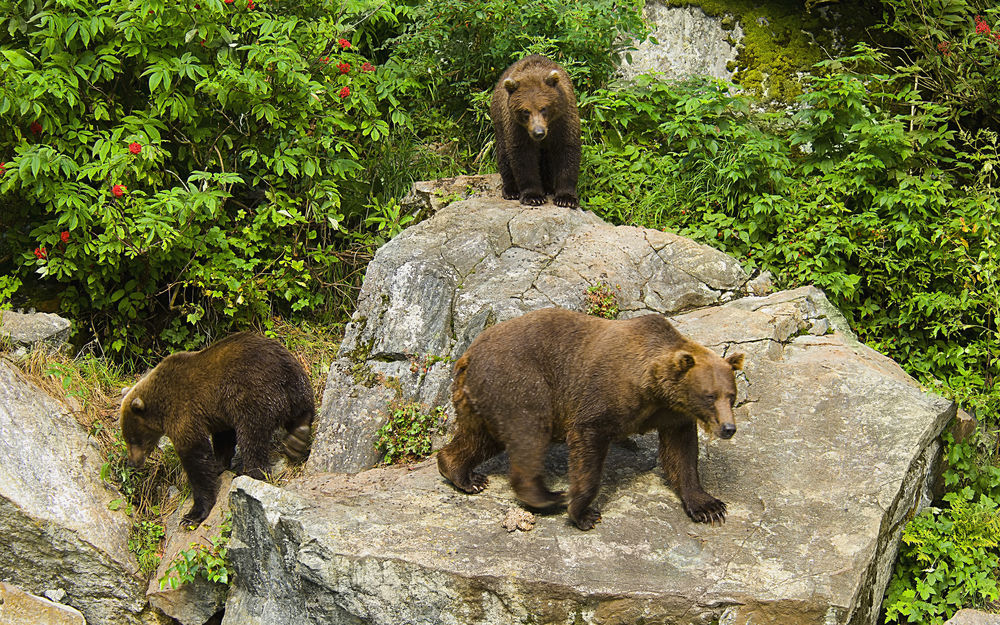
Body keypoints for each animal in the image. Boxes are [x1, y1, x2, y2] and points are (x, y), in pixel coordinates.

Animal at [122, 330, 314, 524]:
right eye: (126, 439)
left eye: (133, 439)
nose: (132, 462)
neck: (160, 407)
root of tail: (285, 370)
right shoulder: (217, 410)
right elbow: (223, 438)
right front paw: (219, 464)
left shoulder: (183, 412)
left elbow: (196, 458)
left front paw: (193, 514)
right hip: (297, 384)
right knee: (302, 412)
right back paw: (297, 439)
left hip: (254, 392)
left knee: (251, 438)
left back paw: (251, 472)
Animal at [438, 306, 744, 528]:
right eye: (709, 396)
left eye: (731, 396)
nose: (728, 428)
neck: (653, 388)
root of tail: (467, 355)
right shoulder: (606, 395)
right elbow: (588, 440)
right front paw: (583, 512)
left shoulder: (672, 414)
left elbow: (681, 454)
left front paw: (708, 506)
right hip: (521, 381)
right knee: (529, 434)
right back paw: (549, 497)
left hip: (481, 399)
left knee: (480, 438)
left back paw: (464, 474)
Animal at [490, 54, 584, 210]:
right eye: (525, 111)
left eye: (543, 108)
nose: (538, 132)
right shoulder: (518, 127)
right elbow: (523, 155)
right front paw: (533, 196)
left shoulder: (564, 119)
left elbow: (567, 150)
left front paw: (566, 198)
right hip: (499, 120)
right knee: (504, 152)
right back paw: (511, 190)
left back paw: (548, 187)